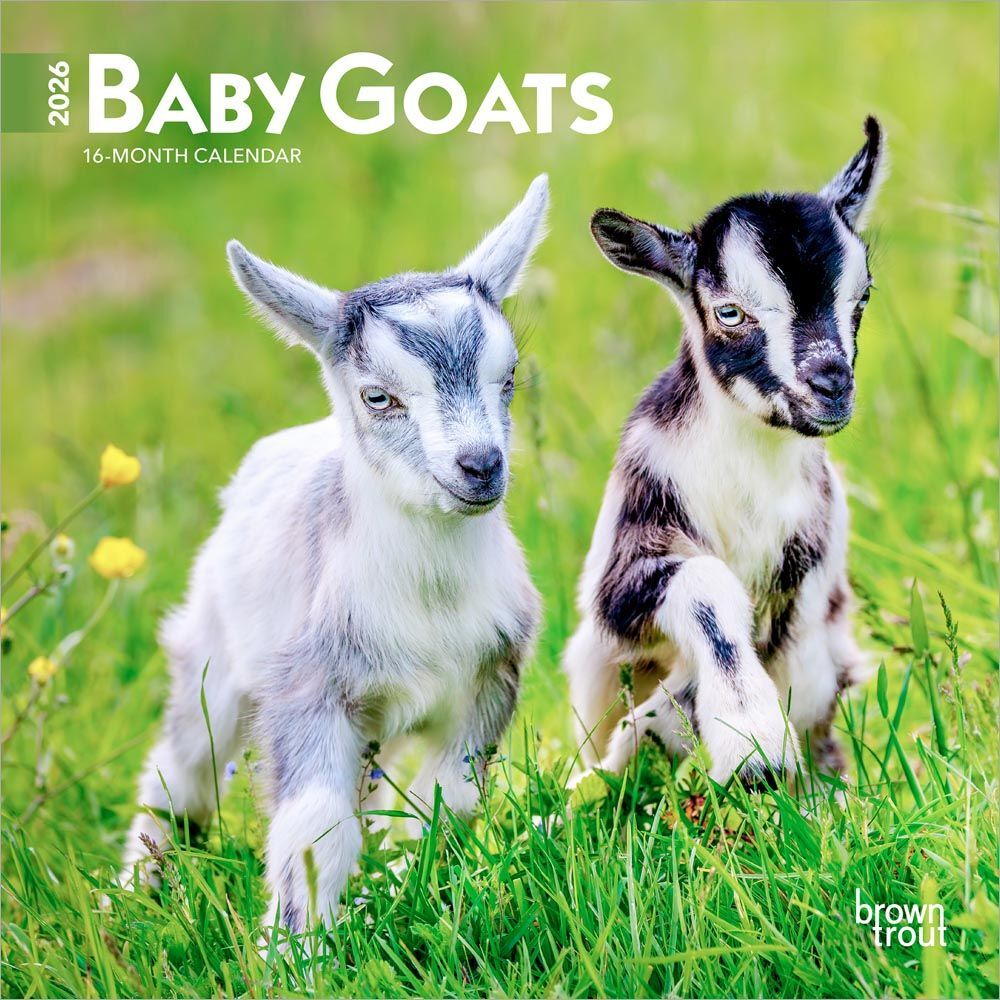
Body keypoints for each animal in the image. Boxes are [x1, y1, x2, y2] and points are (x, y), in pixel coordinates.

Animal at [121, 176, 549, 932]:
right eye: (378, 396)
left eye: (508, 378)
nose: (479, 466)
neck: (429, 601)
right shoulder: (308, 689)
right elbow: (315, 832)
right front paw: (297, 947)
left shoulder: (488, 681)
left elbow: (447, 802)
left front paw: (407, 895)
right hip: (215, 660)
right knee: (180, 773)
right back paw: (132, 895)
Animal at [565, 120, 885, 788]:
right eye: (729, 312)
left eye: (863, 297)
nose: (831, 384)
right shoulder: (626, 567)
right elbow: (707, 590)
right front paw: (752, 744)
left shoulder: (806, 573)